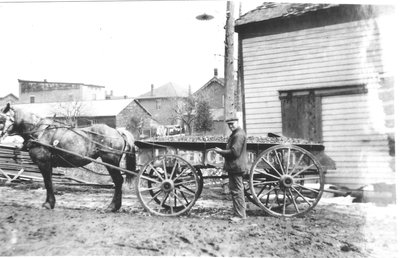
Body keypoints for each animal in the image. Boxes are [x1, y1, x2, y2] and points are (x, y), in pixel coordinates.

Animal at [0, 103, 136, 212]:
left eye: (2, 118)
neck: (38, 131)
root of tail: (118, 132)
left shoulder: (44, 163)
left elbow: (47, 182)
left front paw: (48, 204)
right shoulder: (48, 165)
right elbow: (49, 182)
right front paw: (50, 203)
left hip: (110, 161)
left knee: (118, 181)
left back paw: (112, 206)